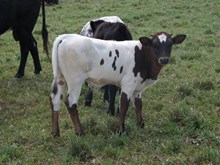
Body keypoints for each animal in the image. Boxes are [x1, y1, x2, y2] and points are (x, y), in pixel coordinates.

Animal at [49, 31, 186, 136]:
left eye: (170, 44)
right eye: (155, 44)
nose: (164, 59)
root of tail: (66, 37)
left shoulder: (137, 88)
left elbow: (138, 105)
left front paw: (140, 125)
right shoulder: (128, 84)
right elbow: (124, 106)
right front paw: (121, 130)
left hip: (60, 78)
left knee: (55, 99)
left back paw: (56, 133)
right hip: (75, 80)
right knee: (70, 103)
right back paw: (80, 132)